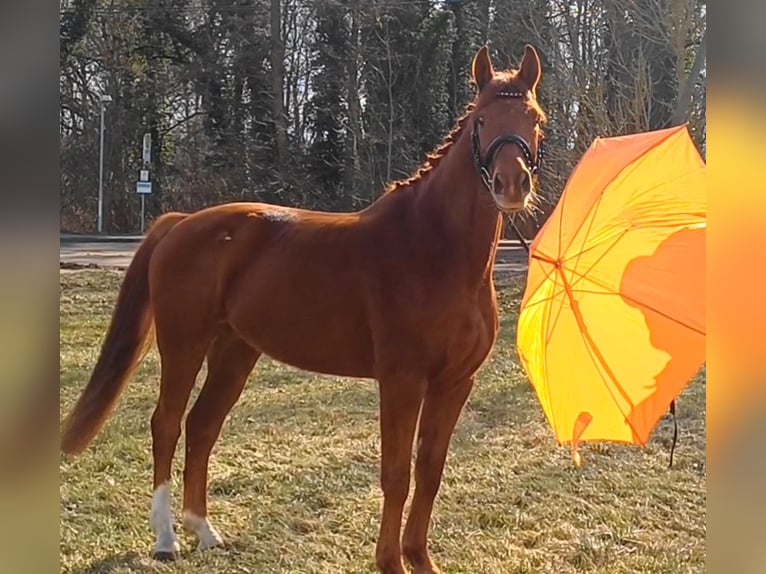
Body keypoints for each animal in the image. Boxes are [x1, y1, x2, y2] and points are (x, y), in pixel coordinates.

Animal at [60, 44, 547, 574]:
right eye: (480, 120)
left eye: (535, 120)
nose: (511, 185)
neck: (435, 248)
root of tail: (181, 222)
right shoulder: (402, 380)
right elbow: (396, 473)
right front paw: (390, 561)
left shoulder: (455, 382)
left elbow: (430, 471)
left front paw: (420, 559)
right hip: (183, 344)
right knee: (166, 424)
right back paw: (166, 538)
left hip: (235, 351)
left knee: (202, 425)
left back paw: (204, 530)